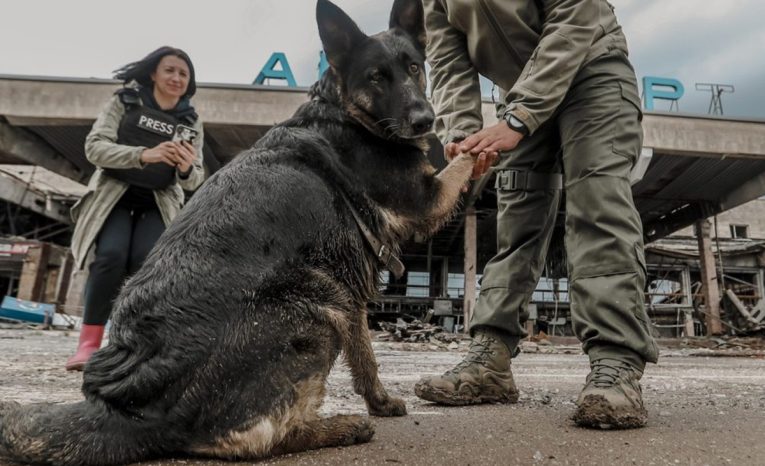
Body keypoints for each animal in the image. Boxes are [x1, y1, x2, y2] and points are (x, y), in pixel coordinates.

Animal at [0, 0, 474, 466]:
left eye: (413, 67)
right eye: (377, 76)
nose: (425, 120)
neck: (345, 113)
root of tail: (131, 412)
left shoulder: (352, 288)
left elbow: (365, 355)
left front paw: (379, 401)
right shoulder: (428, 198)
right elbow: (468, 159)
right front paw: (485, 137)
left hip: (332, 297)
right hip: (316, 308)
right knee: (253, 440)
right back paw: (340, 428)